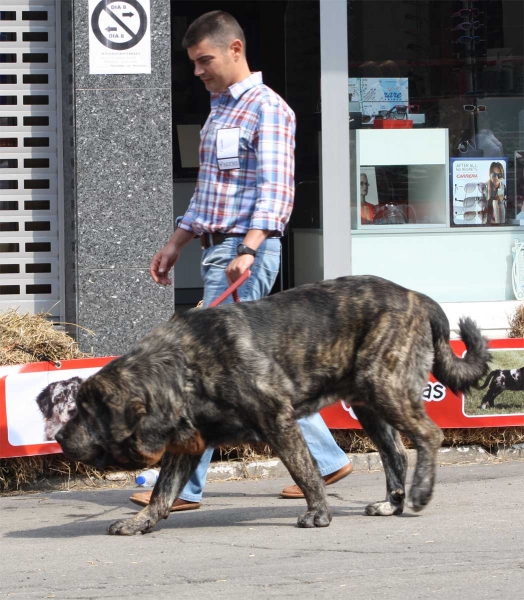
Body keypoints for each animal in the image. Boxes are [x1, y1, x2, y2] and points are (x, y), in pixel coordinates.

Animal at [47, 276, 490, 536]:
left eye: (86, 410)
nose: (60, 435)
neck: (183, 366)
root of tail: (419, 298)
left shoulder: (278, 419)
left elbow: (304, 470)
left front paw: (318, 513)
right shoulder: (187, 444)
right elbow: (162, 490)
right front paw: (143, 520)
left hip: (383, 384)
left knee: (428, 434)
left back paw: (419, 493)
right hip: (367, 401)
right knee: (396, 452)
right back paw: (391, 503)